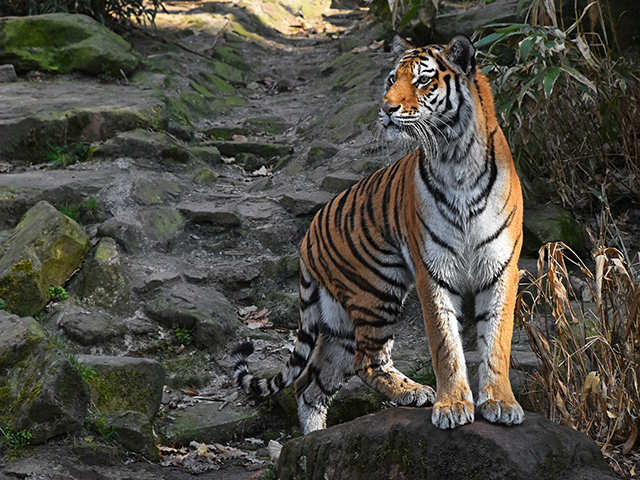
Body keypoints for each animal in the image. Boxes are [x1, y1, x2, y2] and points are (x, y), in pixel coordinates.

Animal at [232, 33, 524, 432]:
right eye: (391, 79)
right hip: (375, 289)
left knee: (311, 385)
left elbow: (497, 339)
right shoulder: (432, 273)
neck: (455, 157)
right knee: (364, 362)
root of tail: (307, 237)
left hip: (340, 319)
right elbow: (446, 345)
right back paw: (414, 392)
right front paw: (451, 405)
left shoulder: (500, 267)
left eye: (422, 80)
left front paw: (501, 402)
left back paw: (311, 438)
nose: (385, 108)